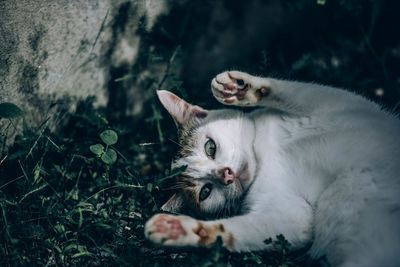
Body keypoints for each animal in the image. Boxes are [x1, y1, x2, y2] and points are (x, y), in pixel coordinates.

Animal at [144, 70, 400, 266]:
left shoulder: (345, 105)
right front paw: (181, 229)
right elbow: (240, 230)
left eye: (210, 148)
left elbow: (298, 91)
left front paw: (241, 88)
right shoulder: (291, 216)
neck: (264, 156)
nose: (226, 175)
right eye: (205, 191)